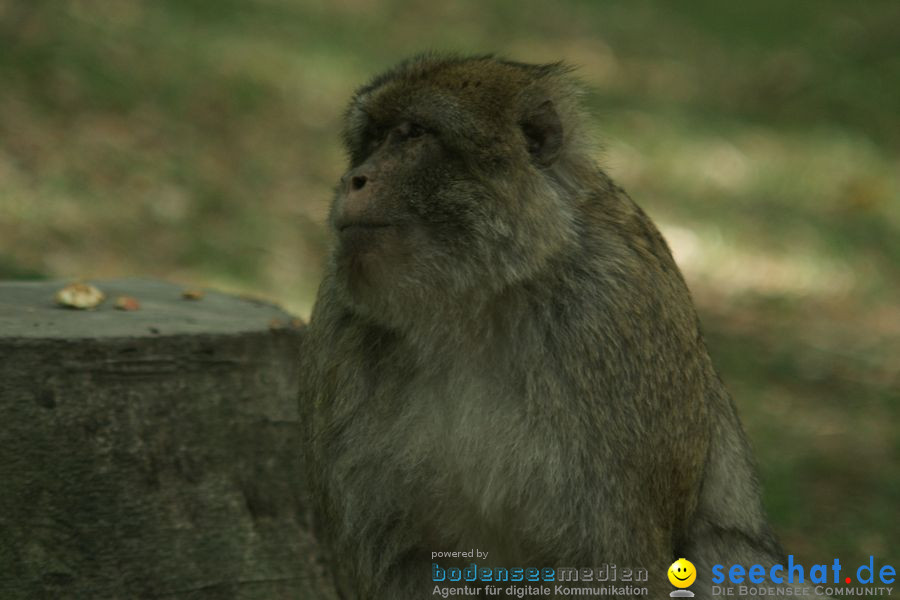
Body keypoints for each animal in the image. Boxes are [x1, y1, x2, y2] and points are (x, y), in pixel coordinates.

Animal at [302, 54, 800, 596]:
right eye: (371, 141)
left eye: (411, 134)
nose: (354, 179)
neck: (469, 305)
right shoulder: (339, 323)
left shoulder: (613, 314)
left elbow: (615, 559)